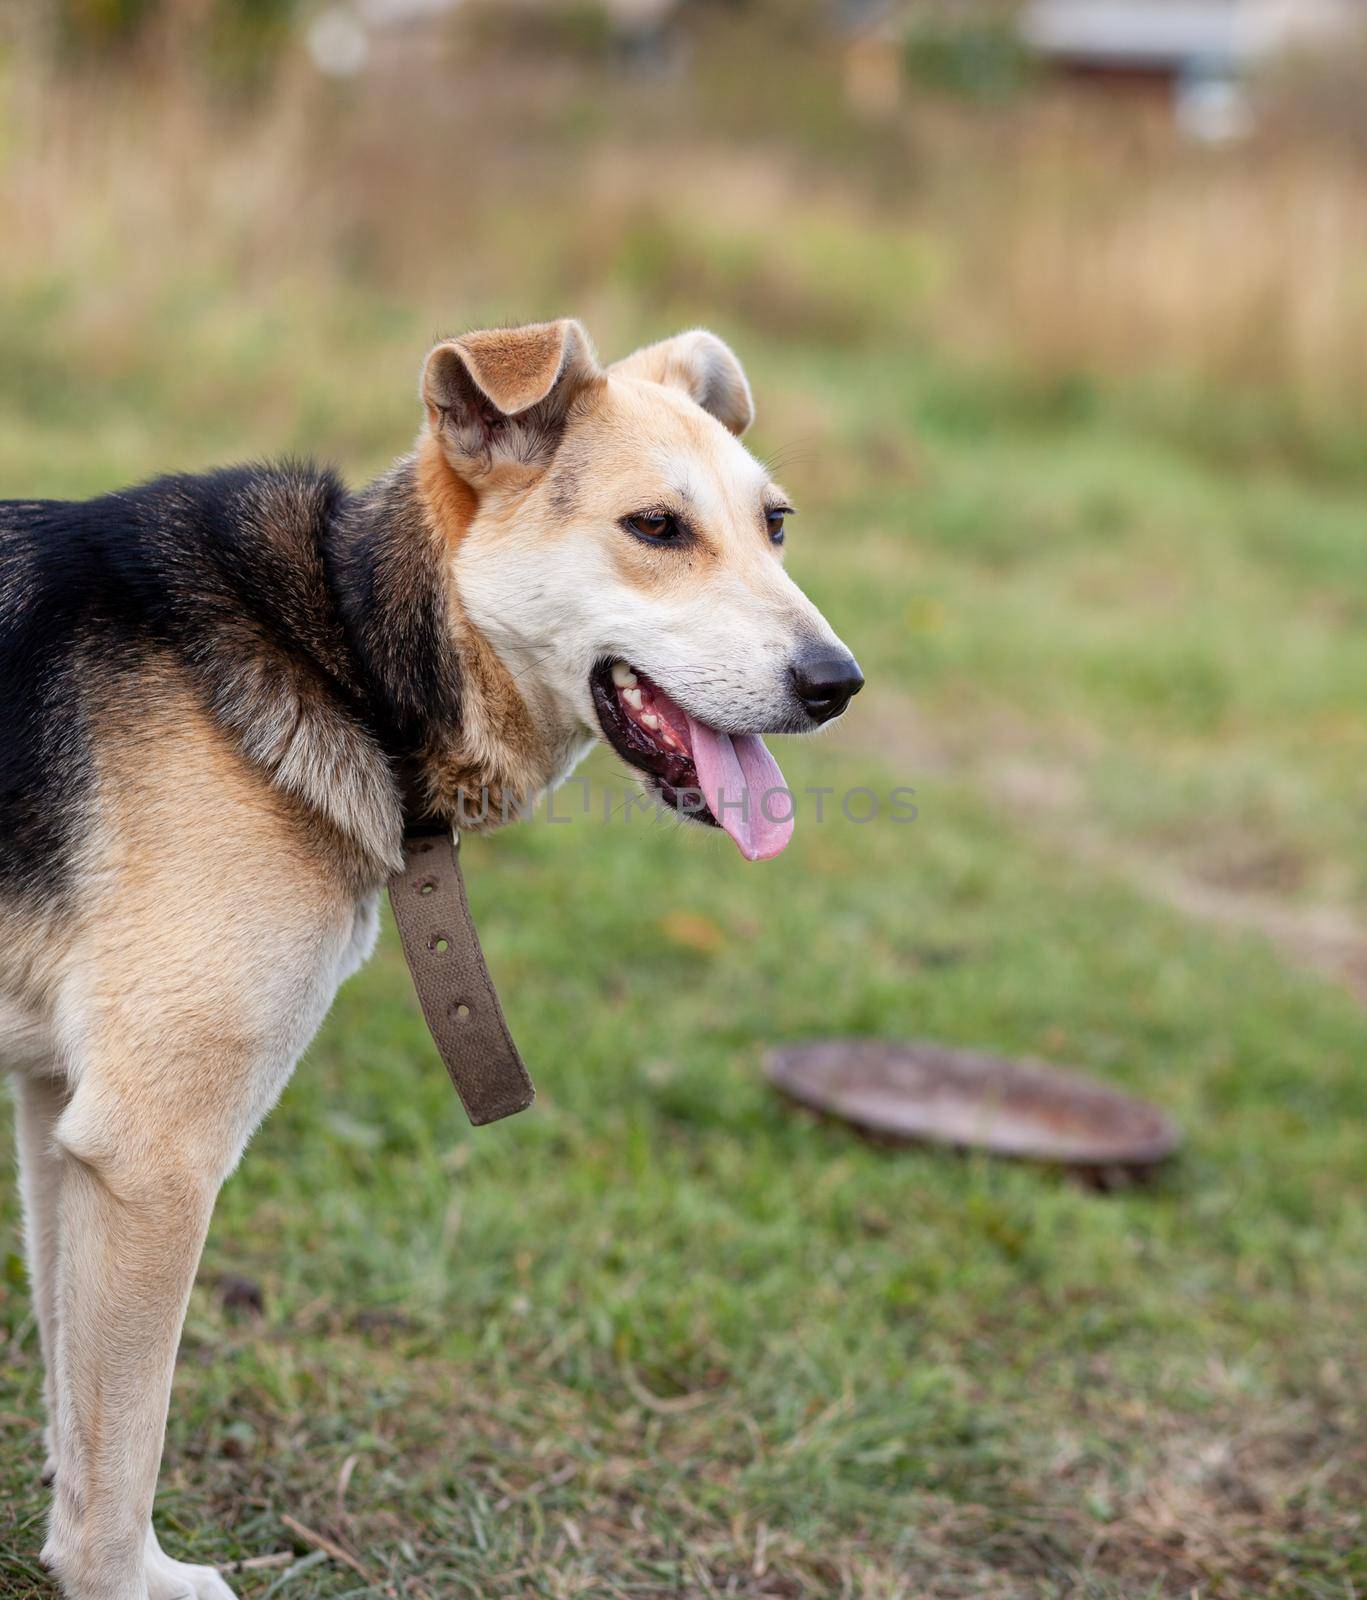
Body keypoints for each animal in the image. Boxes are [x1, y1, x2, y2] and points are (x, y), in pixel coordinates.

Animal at [0, 318, 864, 1593]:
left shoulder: (68, 1118)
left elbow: (81, 1401)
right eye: (656, 528)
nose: (836, 683)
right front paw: (121, 1576)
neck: (351, 650)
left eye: (776, 524)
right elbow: (128, 1433)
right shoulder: (154, 1152)